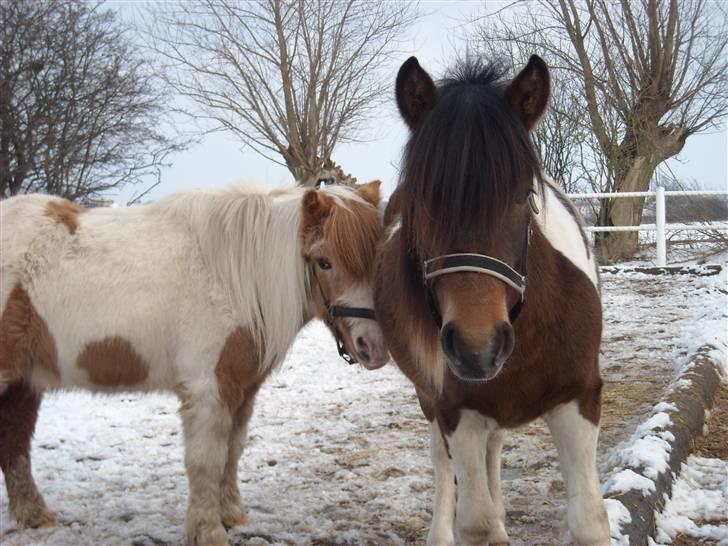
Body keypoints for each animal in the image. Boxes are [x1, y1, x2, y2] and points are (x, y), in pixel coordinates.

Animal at [0, 180, 386, 544]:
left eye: (377, 259)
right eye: (324, 262)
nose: (374, 348)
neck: (235, 278)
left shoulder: (242, 390)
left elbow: (233, 450)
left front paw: (232, 514)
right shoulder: (208, 391)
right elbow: (206, 462)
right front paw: (209, 532)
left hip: (22, 383)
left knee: (16, 444)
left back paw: (36, 516)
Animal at [376, 57, 608, 540]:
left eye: (523, 195)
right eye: (421, 202)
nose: (476, 348)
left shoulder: (578, 399)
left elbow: (589, 519)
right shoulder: (455, 411)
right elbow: (477, 523)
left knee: (494, 446)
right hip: (430, 400)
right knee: (444, 466)